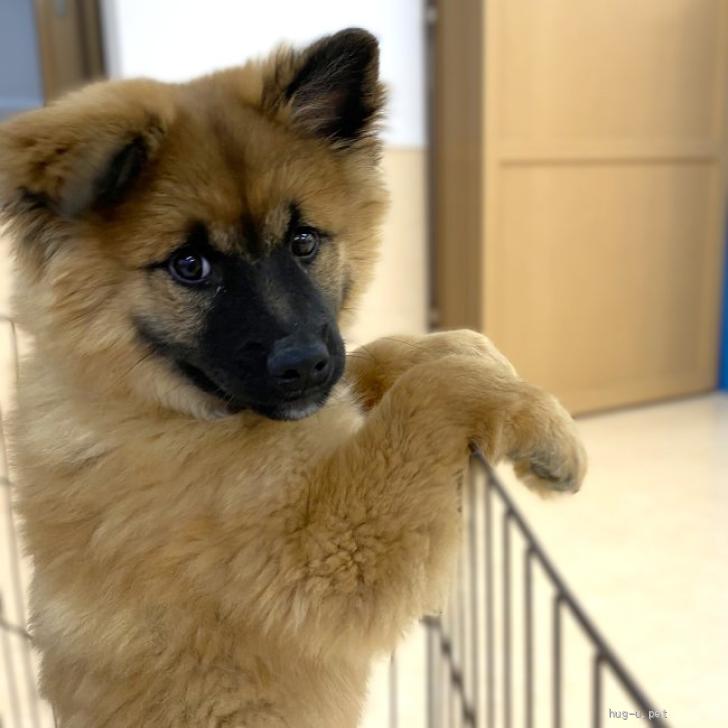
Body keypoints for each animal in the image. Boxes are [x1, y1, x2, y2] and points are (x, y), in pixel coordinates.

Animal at [0, 28, 586, 728]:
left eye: (304, 240)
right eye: (190, 265)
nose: (304, 363)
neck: (150, 402)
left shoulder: (332, 391)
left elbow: (386, 359)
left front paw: (479, 357)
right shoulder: (315, 557)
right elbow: (428, 395)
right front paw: (525, 414)